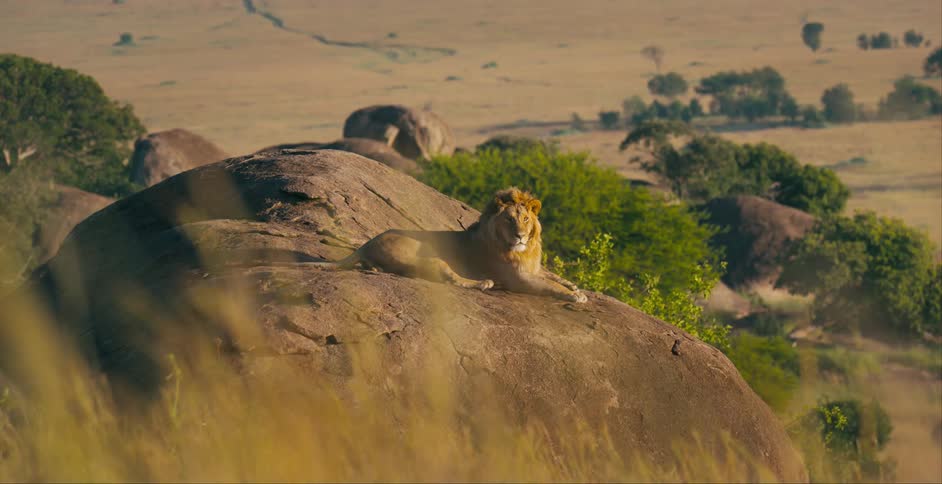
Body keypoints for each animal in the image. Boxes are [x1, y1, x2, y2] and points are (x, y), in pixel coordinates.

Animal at [318, 187, 587, 303]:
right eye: (509, 219)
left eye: (525, 219)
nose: (520, 236)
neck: (525, 251)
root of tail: (369, 242)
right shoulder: (518, 279)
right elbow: (549, 285)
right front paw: (575, 295)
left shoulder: (533, 268)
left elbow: (552, 275)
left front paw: (572, 285)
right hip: (431, 257)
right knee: (452, 279)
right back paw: (484, 283)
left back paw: (374, 269)